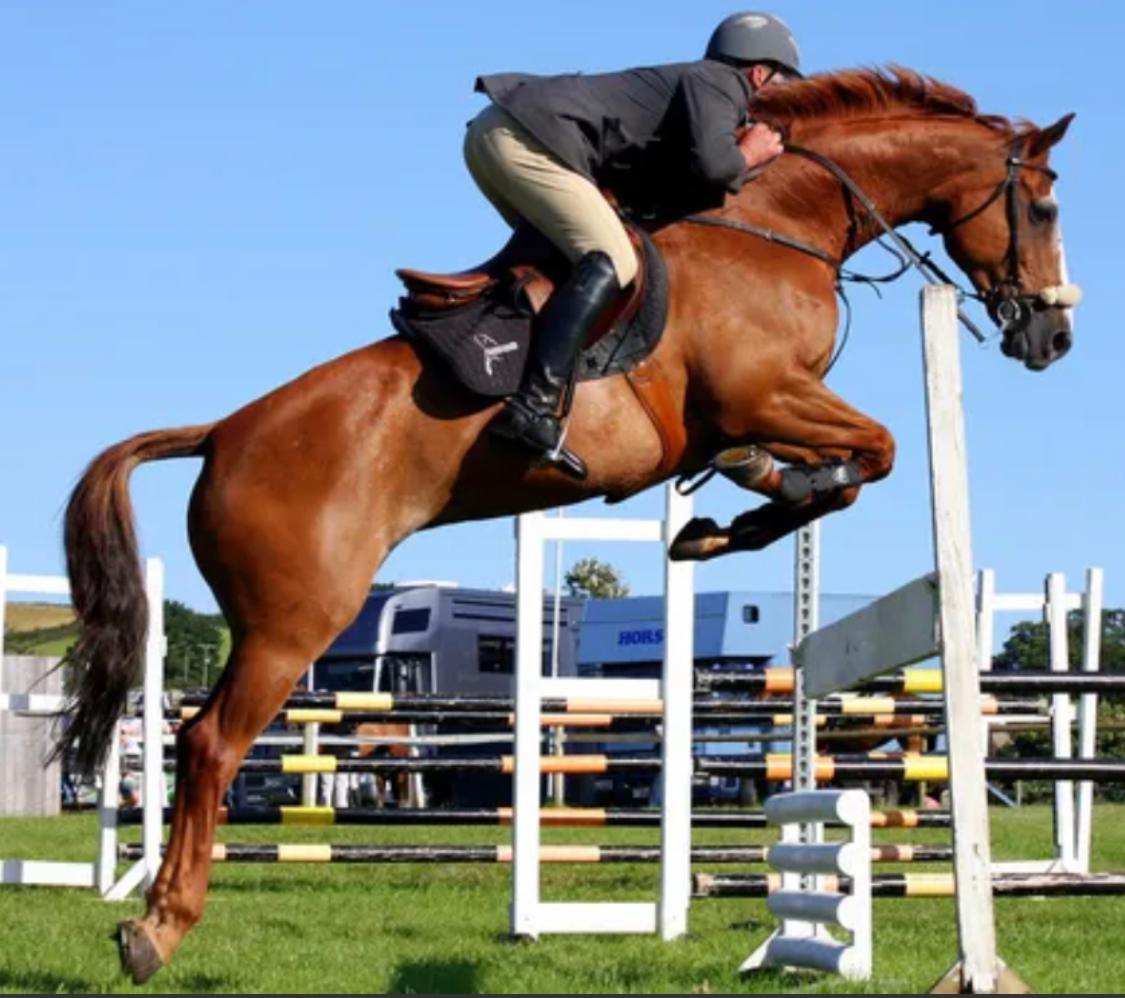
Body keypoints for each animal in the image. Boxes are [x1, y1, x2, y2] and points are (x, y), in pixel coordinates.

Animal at [57, 68, 1078, 981]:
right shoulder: (763, 393)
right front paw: (743, 518)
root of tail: (225, 432)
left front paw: (726, 517)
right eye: (1043, 206)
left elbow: (827, 471)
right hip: (292, 621)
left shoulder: (747, 417)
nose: (1052, 339)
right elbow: (879, 450)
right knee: (209, 745)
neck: (779, 226)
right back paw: (156, 929)